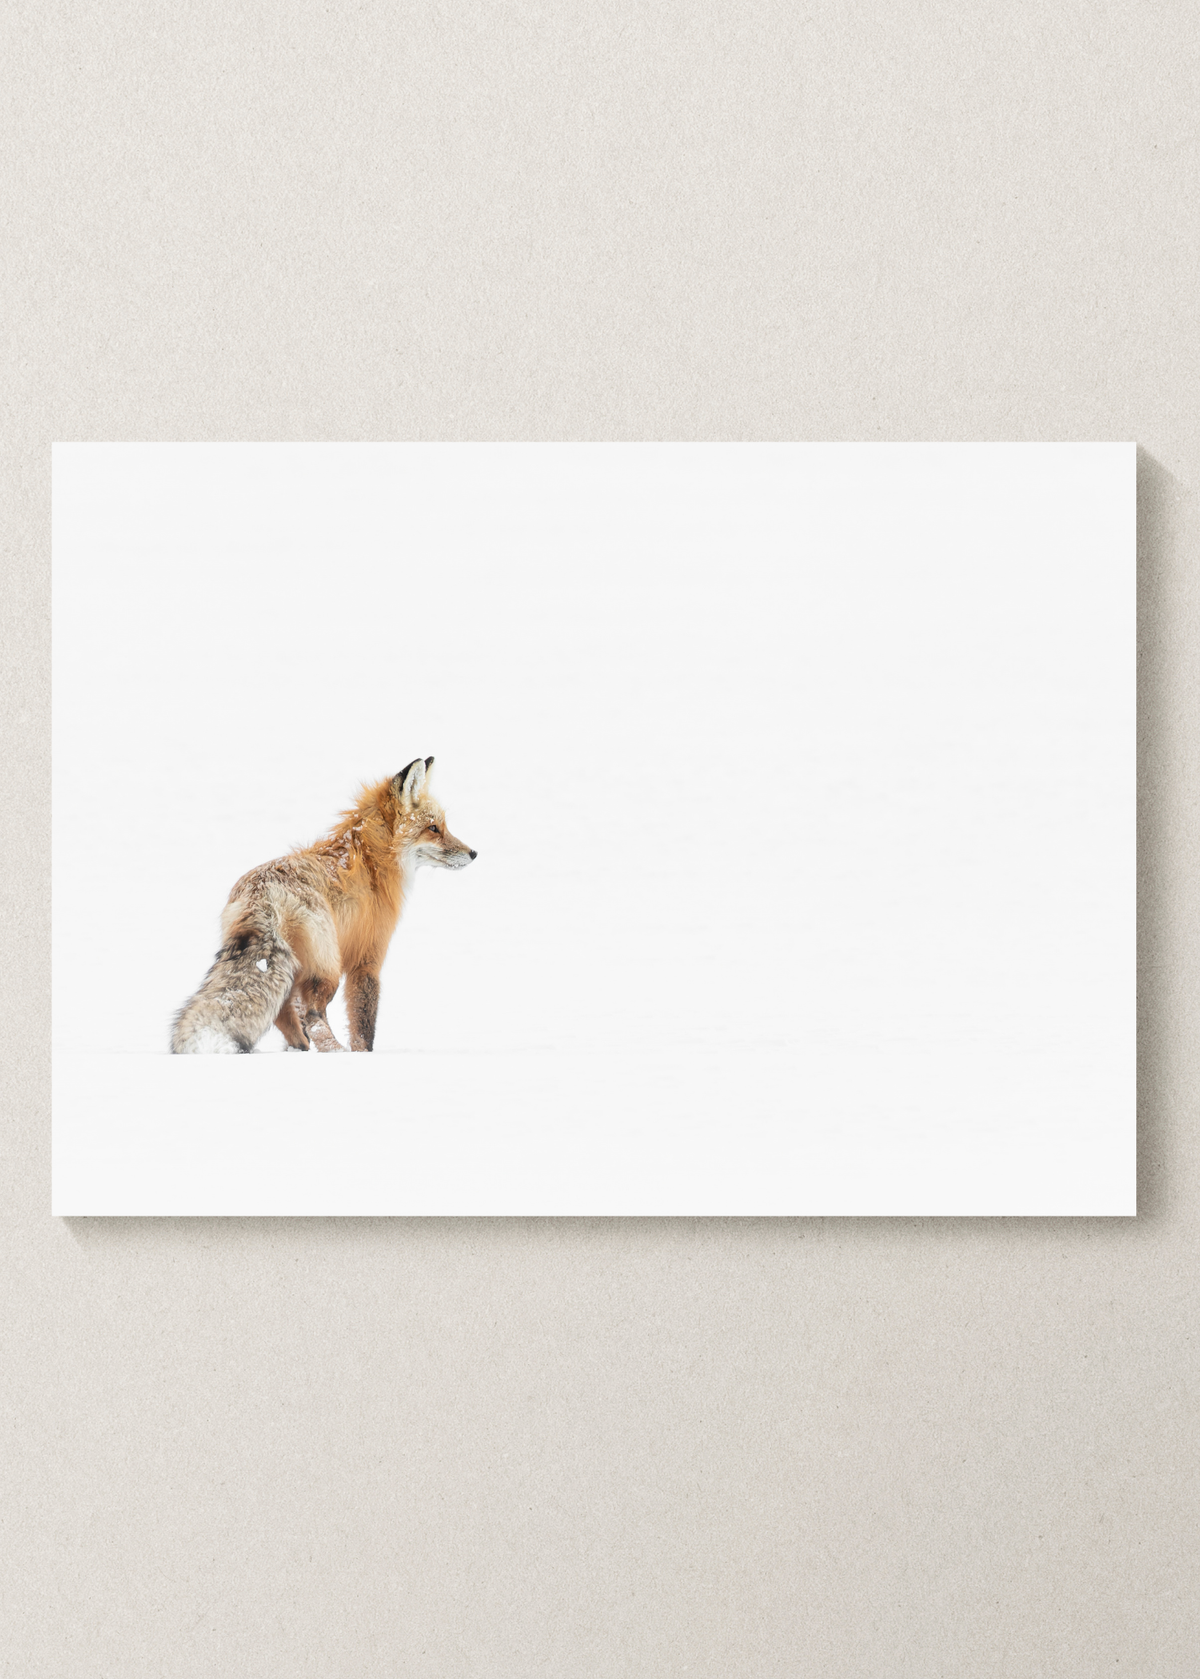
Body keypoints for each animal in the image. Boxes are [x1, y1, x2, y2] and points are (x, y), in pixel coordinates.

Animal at [170, 757, 475, 1054]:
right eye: (433, 828)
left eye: (442, 826)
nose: (473, 853)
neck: (372, 860)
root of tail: (261, 891)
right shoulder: (367, 958)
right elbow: (364, 1024)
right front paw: (362, 1053)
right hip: (327, 967)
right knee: (313, 1015)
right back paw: (334, 1051)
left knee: (285, 1012)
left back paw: (299, 1048)